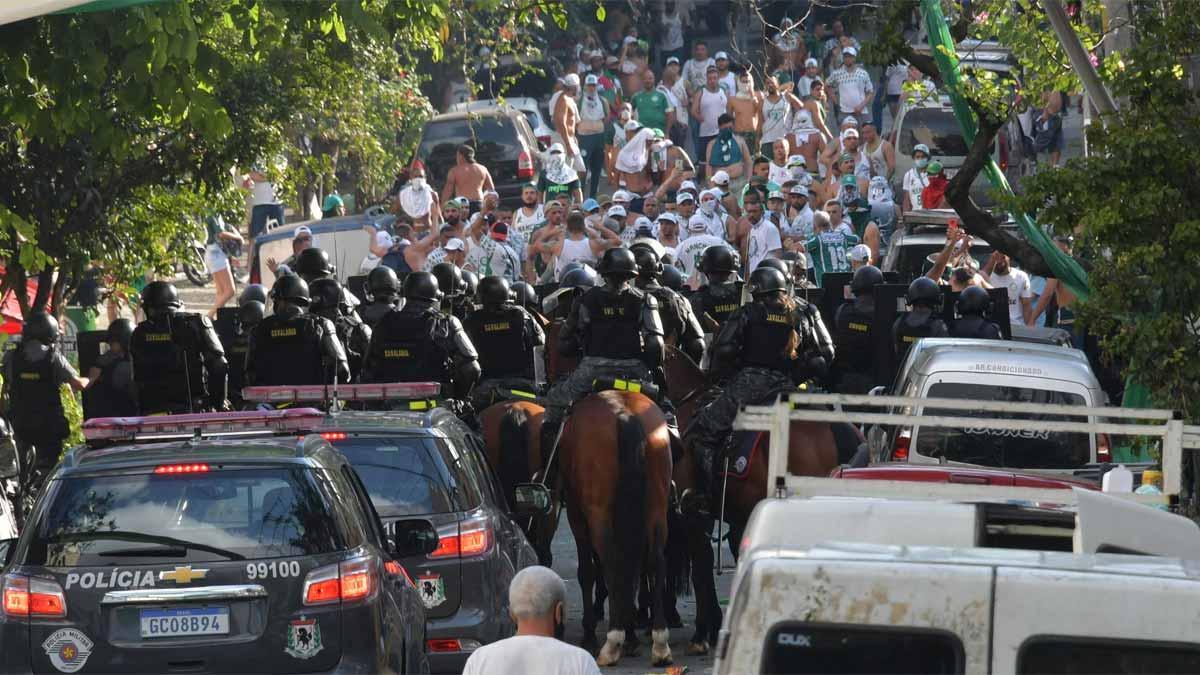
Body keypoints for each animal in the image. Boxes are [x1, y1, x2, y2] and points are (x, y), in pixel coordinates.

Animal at [556, 386, 672, 662]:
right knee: (655, 560)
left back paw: (611, 642)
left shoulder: (577, 517)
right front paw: (631, 635)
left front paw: (591, 633)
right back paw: (659, 641)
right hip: (656, 509)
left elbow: (588, 572)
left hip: (597, 512)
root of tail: (623, 412)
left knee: (610, 561)